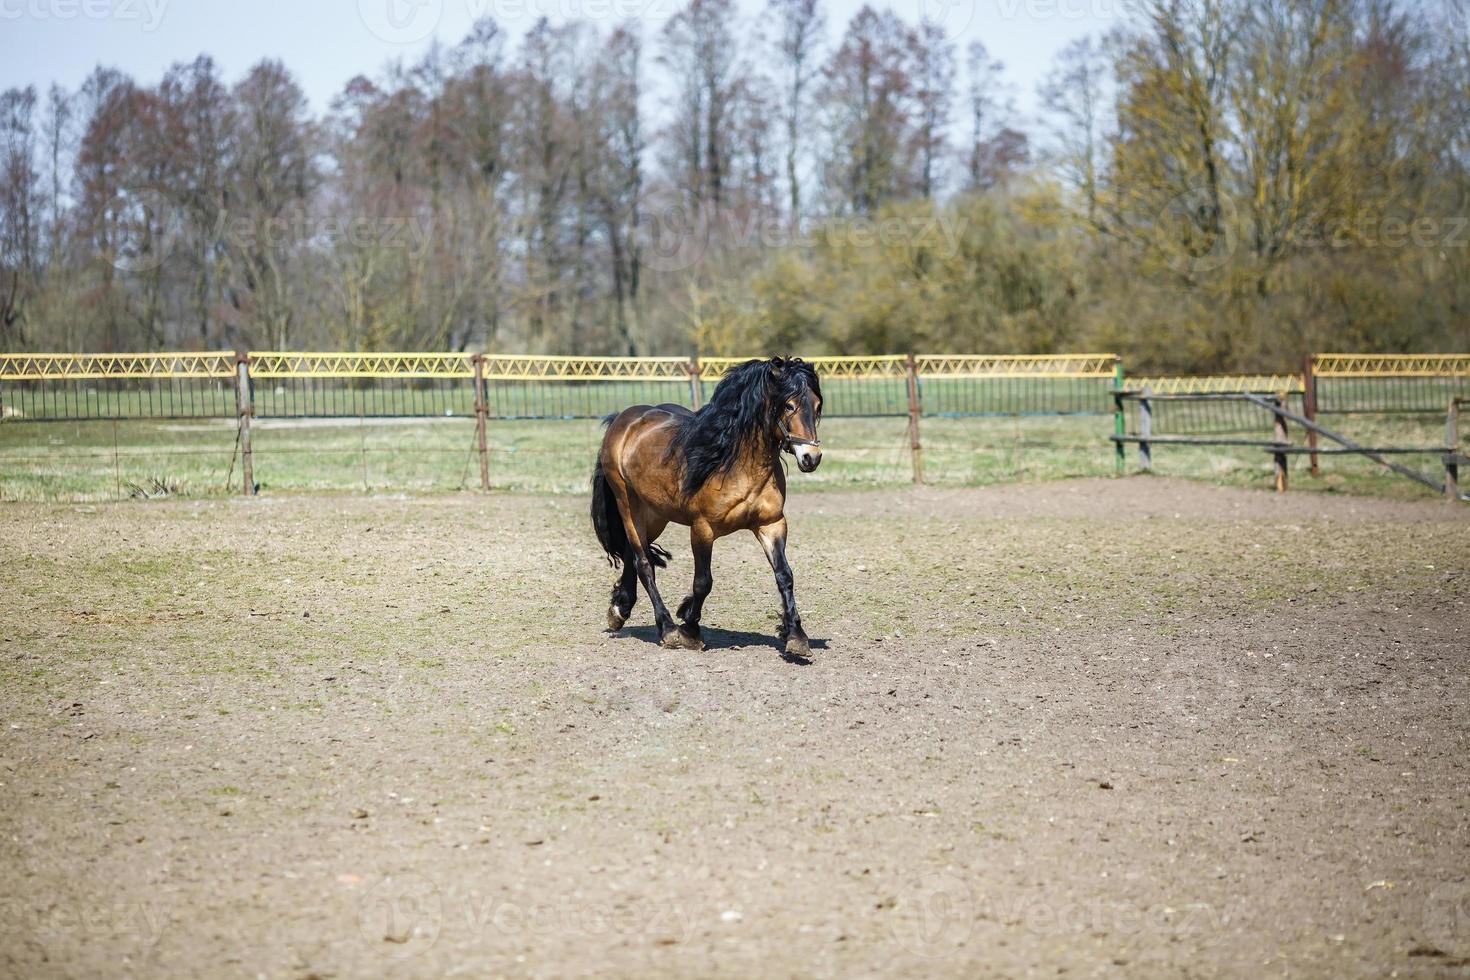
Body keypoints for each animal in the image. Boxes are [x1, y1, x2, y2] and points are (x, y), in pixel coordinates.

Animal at [596, 357, 829, 655]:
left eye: (817, 405)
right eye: (789, 405)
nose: (811, 457)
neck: (738, 464)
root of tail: (623, 420)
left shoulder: (771, 524)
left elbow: (784, 575)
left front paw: (796, 636)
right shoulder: (702, 529)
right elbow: (703, 582)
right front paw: (689, 629)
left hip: (655, 513)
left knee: (631, 552)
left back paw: (620, 609)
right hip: (628, 504)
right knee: (643, 562)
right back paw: (667, 629)